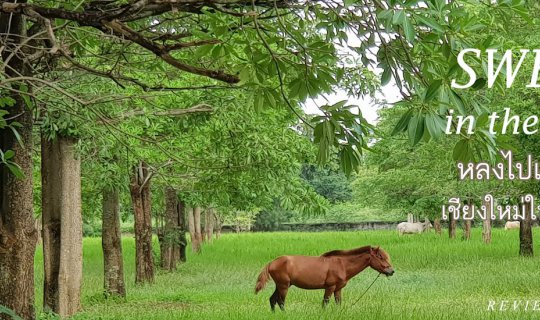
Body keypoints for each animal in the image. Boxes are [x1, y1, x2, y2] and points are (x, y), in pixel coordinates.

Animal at [253, 246, 392, 312]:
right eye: (380, 257)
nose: (391, 271)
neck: (342, 264)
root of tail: (272, 262)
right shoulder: (330, 287)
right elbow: (325, 302)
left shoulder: (338, 289)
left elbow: (338, 303)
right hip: (284, 286)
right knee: (281, 302)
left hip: (280, 285)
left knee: (272, 300)